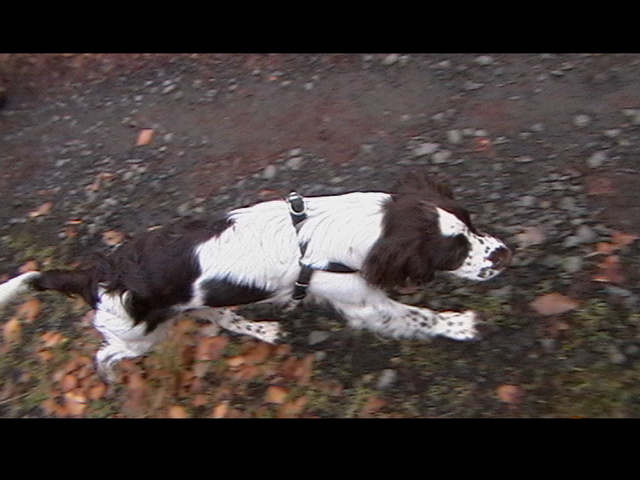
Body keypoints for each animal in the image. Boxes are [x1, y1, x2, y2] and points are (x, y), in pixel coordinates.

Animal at [0, 172, 510, 378]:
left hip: (191, 304)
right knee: (106, 354)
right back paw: (112, 376)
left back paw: (262, 329)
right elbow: (418, 315)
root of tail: (95, 274)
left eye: (472, 223)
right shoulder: (363, 304)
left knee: (217, 316)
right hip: (139, 334)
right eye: (454, 249)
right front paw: (460, 324)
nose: (504, 255)